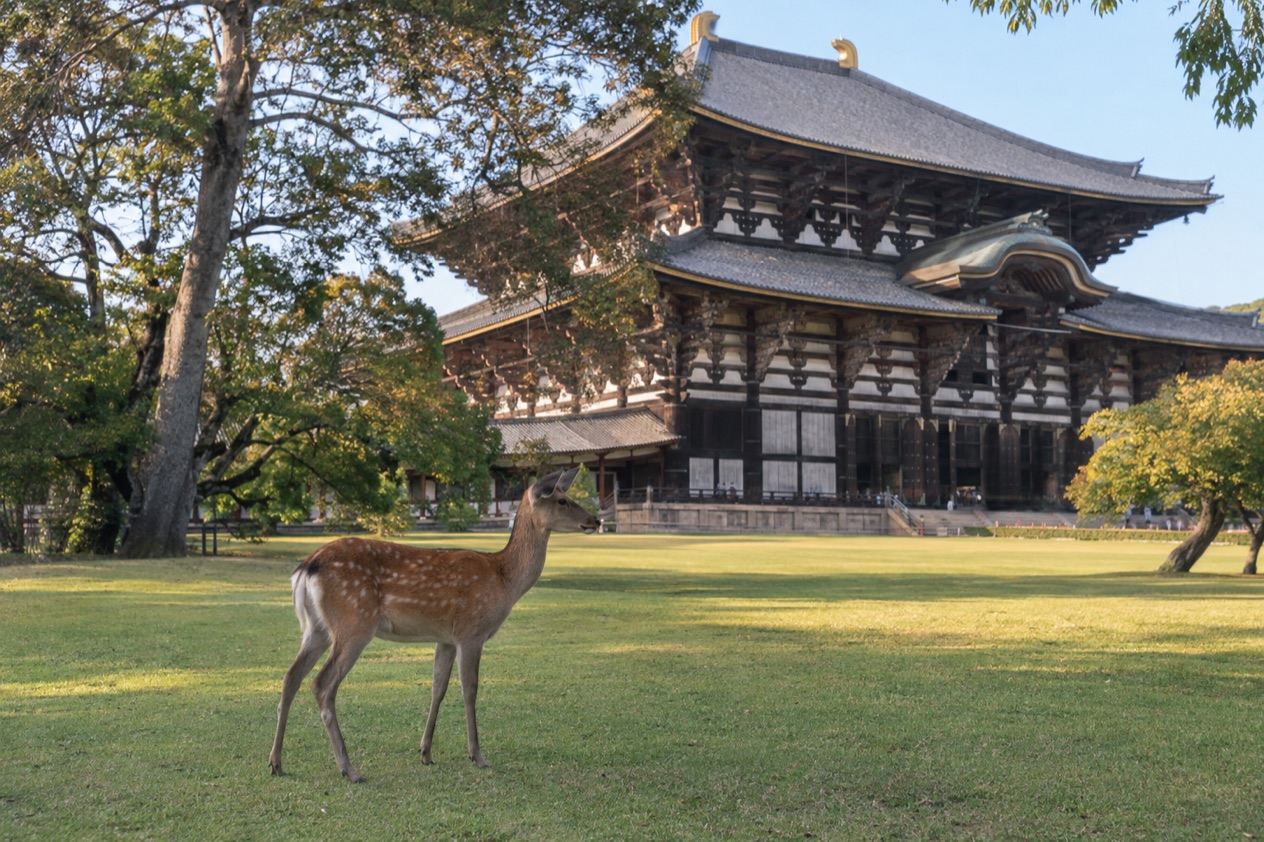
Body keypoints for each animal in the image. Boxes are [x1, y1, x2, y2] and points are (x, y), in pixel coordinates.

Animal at [268, 468, 600, 782]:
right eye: (562, 500)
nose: (595, 520)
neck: (504, 579)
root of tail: (306, 568)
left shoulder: (446, 638)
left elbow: (438, 687)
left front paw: (425, 752)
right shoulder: (471, 631)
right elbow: (470, 689)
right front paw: (477, 756)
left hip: (317, 628)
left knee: (290, 677)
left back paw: (276, 763)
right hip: (354, 621)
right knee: (322, 684)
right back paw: (349, 769)